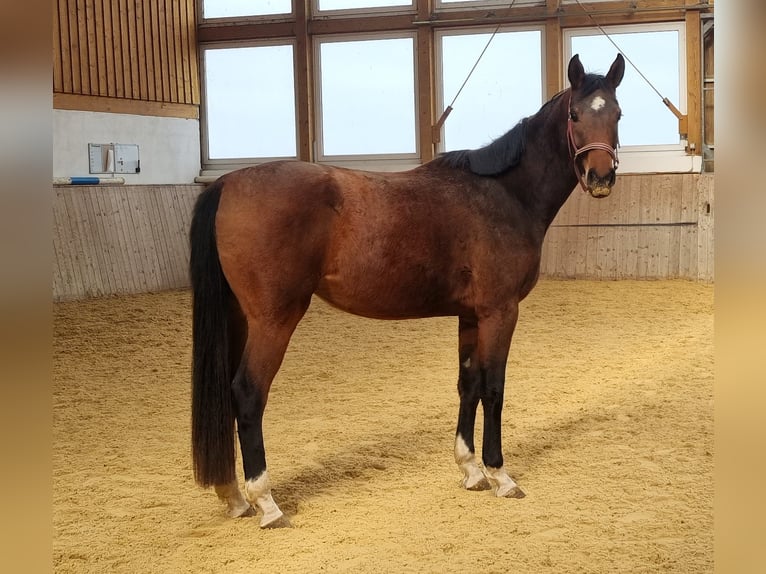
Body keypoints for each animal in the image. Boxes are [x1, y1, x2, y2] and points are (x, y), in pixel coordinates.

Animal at [190, 55, 624, 532]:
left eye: (618, 114)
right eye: (575, 115)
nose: (601, 177)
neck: (505, 194)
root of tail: (227, 184)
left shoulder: (470, 315)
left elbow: (469, 383)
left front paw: (470, 469)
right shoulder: (499, 311)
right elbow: (494, 388)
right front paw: (499, 474)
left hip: (238, 317)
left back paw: (234, 495)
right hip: (274, 320)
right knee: (248, 393)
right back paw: (266, 503)